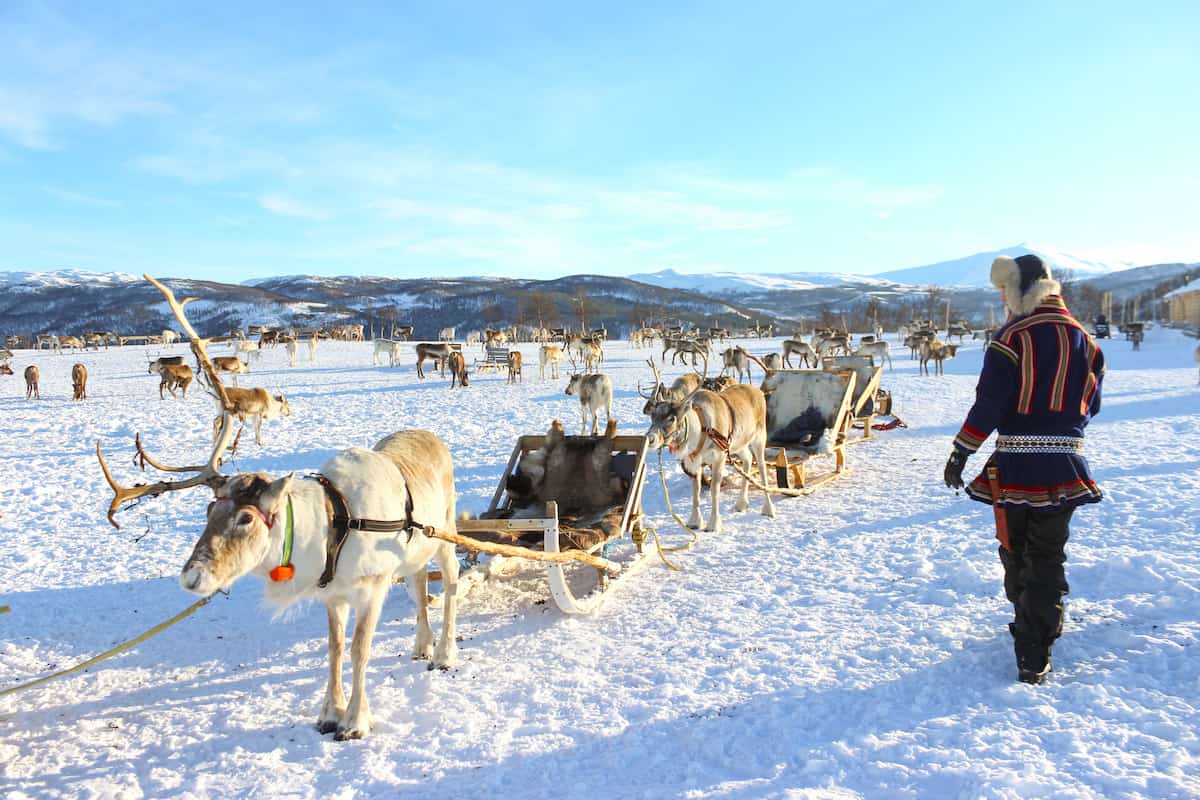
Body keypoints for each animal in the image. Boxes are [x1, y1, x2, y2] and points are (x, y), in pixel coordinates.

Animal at [97, 275, 461, 741]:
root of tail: (432, 436)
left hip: (446, 533)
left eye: (245, 517)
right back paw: (421, 645)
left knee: (449, 583)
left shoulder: (373, 585)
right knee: (418, 585)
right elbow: (334, 649)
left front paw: (356, 721)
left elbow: (359, 650)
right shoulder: (332, 593)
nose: (192, 578)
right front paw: (329, 712)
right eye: (208, 512)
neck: (334, 525)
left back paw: (444, 652)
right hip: (416, 550)